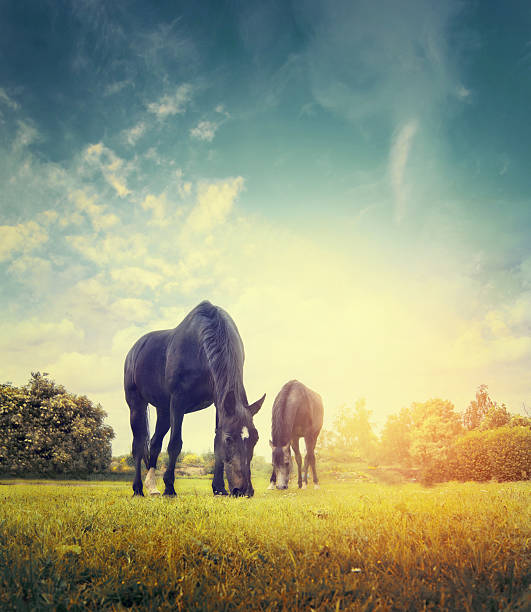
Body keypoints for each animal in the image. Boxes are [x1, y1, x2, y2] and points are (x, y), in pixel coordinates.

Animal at [125, 302, 266, 498]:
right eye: (229, 439)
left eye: (255, 438)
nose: (244, 490)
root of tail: (135, 349)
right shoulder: (178, 402)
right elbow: (175, 444)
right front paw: (169, 487)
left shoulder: (218, 404)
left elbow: (216, 442)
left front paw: (219, 488)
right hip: (136, 405)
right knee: (138, 445)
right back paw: (138, 488)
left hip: (164, 411)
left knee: (154, 443)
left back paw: (152, 487)